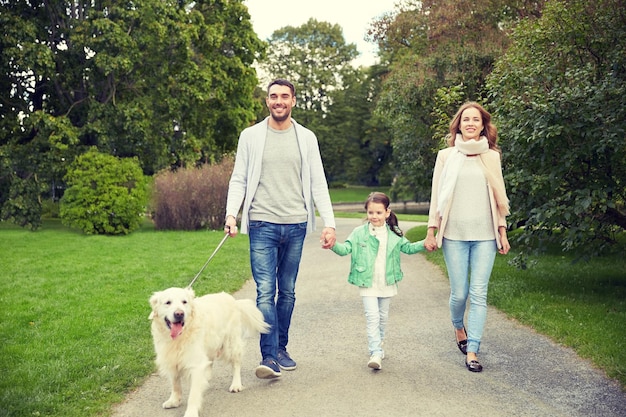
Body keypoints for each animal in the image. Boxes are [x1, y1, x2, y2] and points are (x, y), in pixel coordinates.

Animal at [151, 286, 270, 416]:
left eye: (184, 302)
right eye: (168, 302)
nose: (179, 314)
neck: (179, 338)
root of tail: (232, 300)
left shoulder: (195, 364)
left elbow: (193, 394)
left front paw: (191, 412)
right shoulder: (171, 359)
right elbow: (175, 383)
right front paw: (174, 400)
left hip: (231, 344)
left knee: (236, 364)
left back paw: (236, 384)